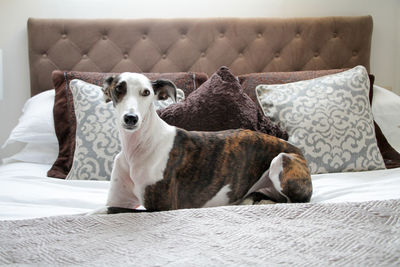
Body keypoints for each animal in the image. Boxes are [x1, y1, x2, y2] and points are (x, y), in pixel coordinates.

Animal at [99, 72, 312, 215]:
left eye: (146, 92)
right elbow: (107, 208)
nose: (131, 119)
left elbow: (106, 211)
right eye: (118, 89)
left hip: (281, 160)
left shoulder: (163, 207)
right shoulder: (119, 199)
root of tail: (298, 151)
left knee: (294, 202)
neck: (137, 146)